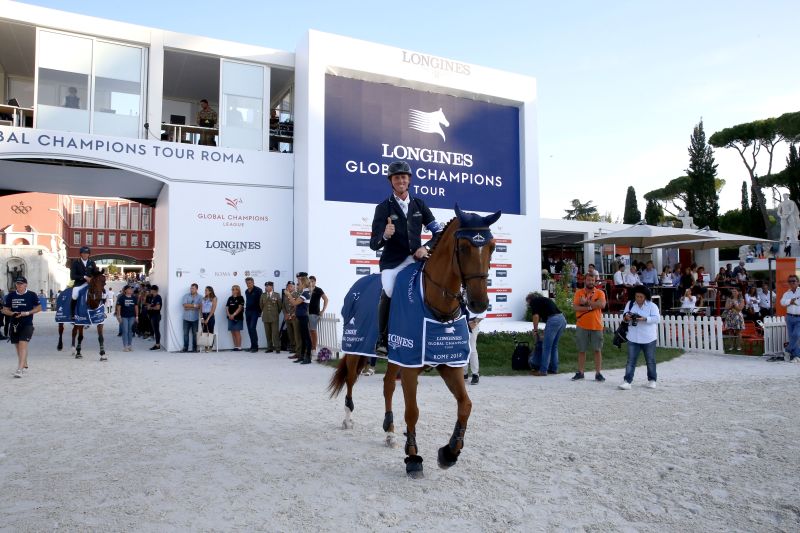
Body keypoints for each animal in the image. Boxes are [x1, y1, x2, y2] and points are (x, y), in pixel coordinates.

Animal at [328, 205, 496, 478]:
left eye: (492, 246)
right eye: (463, 247)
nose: (479, 303)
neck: (435, 304)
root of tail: (357, 285)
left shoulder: (448, 365)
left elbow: (465, 405)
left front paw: (449, 452)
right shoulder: (409, 366)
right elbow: (413, 411)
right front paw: (413, 458)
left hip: (394, 356)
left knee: (387, 385)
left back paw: (389, 432)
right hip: (355, 348)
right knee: (351, 381)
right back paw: (348, 418)